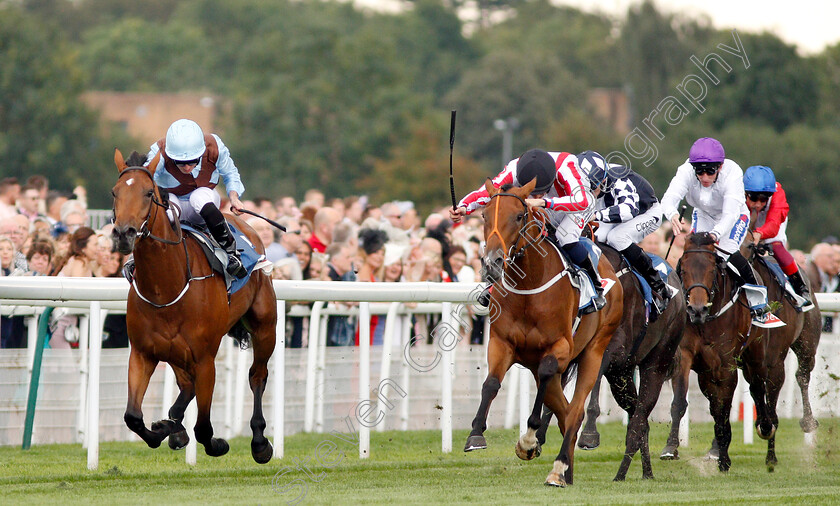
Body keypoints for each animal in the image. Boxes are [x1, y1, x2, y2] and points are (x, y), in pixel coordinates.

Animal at [109, 147, 276, 462]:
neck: (167, 286)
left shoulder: (205, 358)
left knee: (257, 375)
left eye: (148, 193)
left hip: (264, 326)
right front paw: (165, 429)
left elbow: (204, 428)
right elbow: (132, 417)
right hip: (174, 351)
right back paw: (174, 425)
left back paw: (260, 442)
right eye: (115, 192)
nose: (124, 233)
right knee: (186, 386)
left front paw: (218, 444)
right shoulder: (142, 353)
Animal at [466, 180, 624, 488]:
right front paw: (476, 434)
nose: (492, 263)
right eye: (484, 216)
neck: (529, 286)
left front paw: (528, 441)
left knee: (574, 411)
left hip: (594, 351)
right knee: (564, 410)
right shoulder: (501, 343)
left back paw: (559, 467)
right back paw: (565, 472)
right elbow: (491, 383)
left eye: (518, 216)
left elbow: (547, 377)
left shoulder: (559, 348)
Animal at [548, 243, 684, 480]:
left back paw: (622, 473)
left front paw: (589, 434)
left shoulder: (611, 350)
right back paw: (645, 473)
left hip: (657, 361)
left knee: (639, 417)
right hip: (622, 375)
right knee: (640, 420)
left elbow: (591, 385)